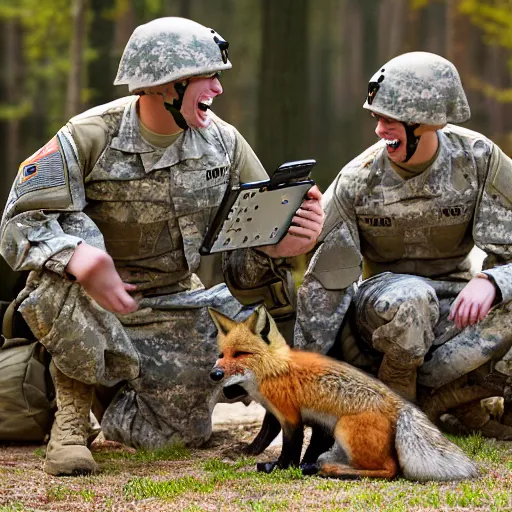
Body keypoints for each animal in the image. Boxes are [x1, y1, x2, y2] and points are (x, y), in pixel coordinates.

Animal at [207, 306, 476, 482]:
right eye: (222, 354)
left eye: (241, 354)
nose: (215, 374)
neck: (272, 370)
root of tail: (398, 405)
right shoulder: (305, 420)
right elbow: (297, 444)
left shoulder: (291, 418)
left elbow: (290, 451)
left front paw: (282, 468)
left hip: (344, 429)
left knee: (391, 469)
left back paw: (328, 470)